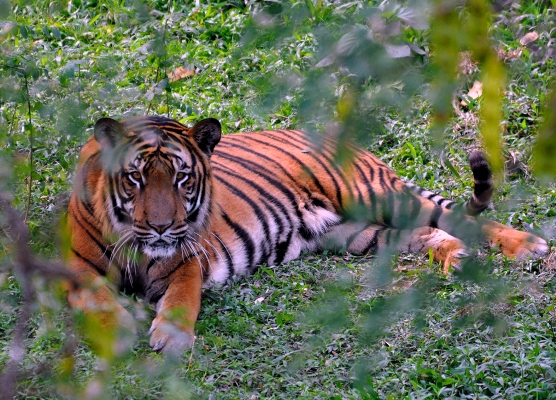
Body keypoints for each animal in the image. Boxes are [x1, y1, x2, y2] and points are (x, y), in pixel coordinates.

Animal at [65, 115, 548, 354]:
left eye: (183, 178)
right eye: (136, 178)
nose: (162, 226)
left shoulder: (185, 262)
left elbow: (182, 299)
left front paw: (171, 337)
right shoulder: (76, 269)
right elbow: (98, 300)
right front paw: (119, 330)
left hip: (374, 195)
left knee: (456, 218)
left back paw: (529, 246)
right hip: (355, 234)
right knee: (427, 232)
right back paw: (458, 258)